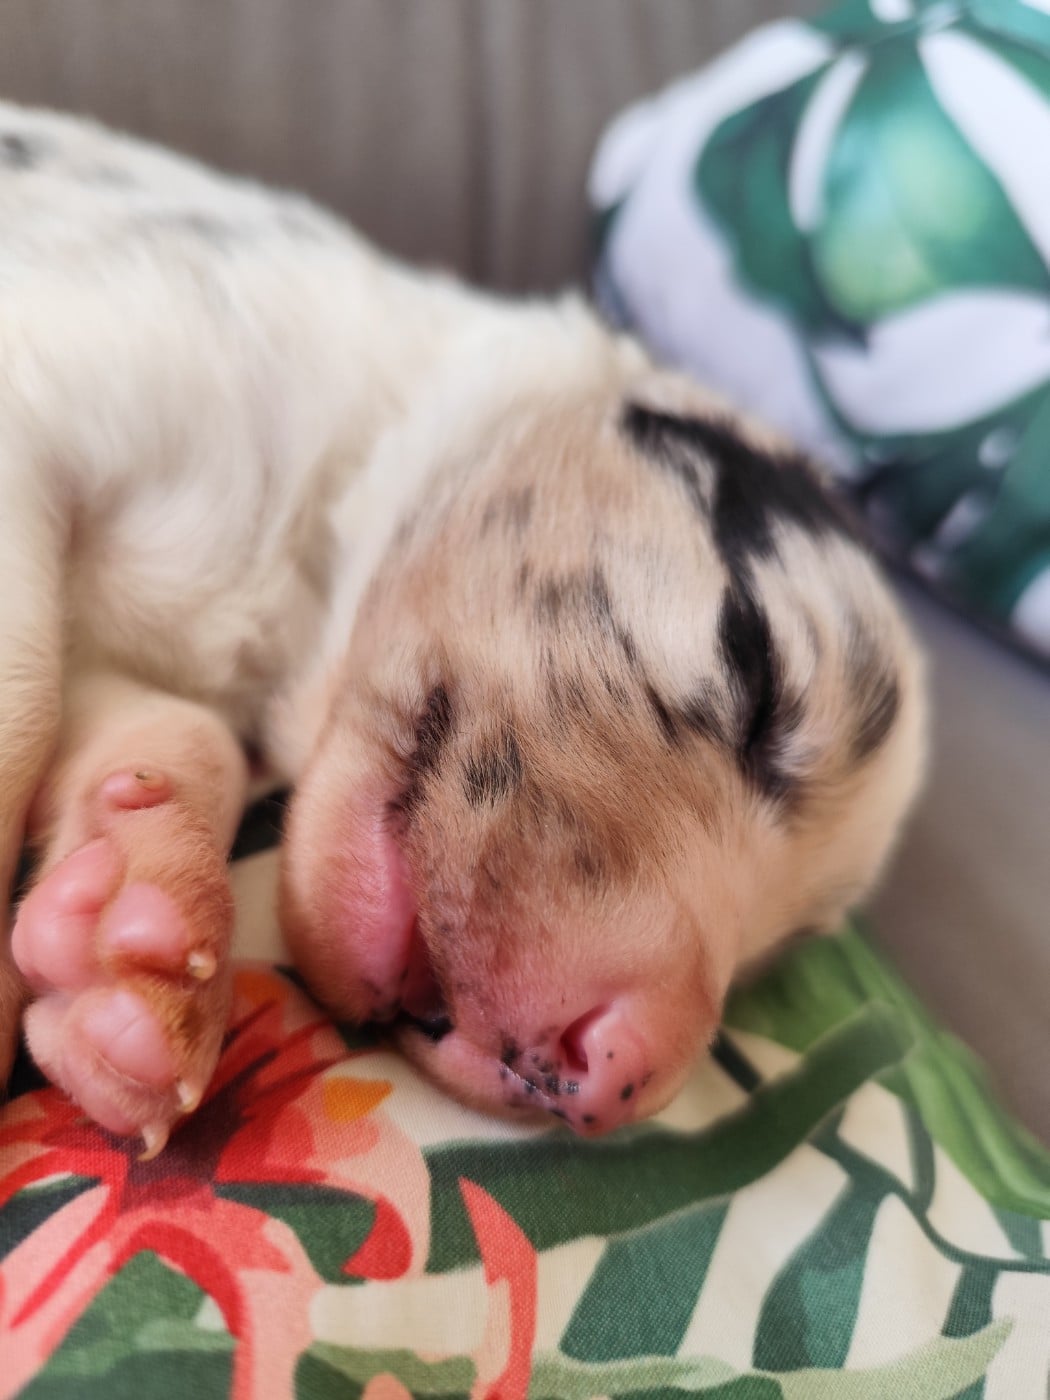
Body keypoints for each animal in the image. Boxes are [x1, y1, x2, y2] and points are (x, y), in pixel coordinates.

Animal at [0, 103, 925, 1155]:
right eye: (757, 670)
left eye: (779, 954)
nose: (617, 1076)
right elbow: (24, 708)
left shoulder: (119, 657)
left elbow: (169, 730)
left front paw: (131, 930)